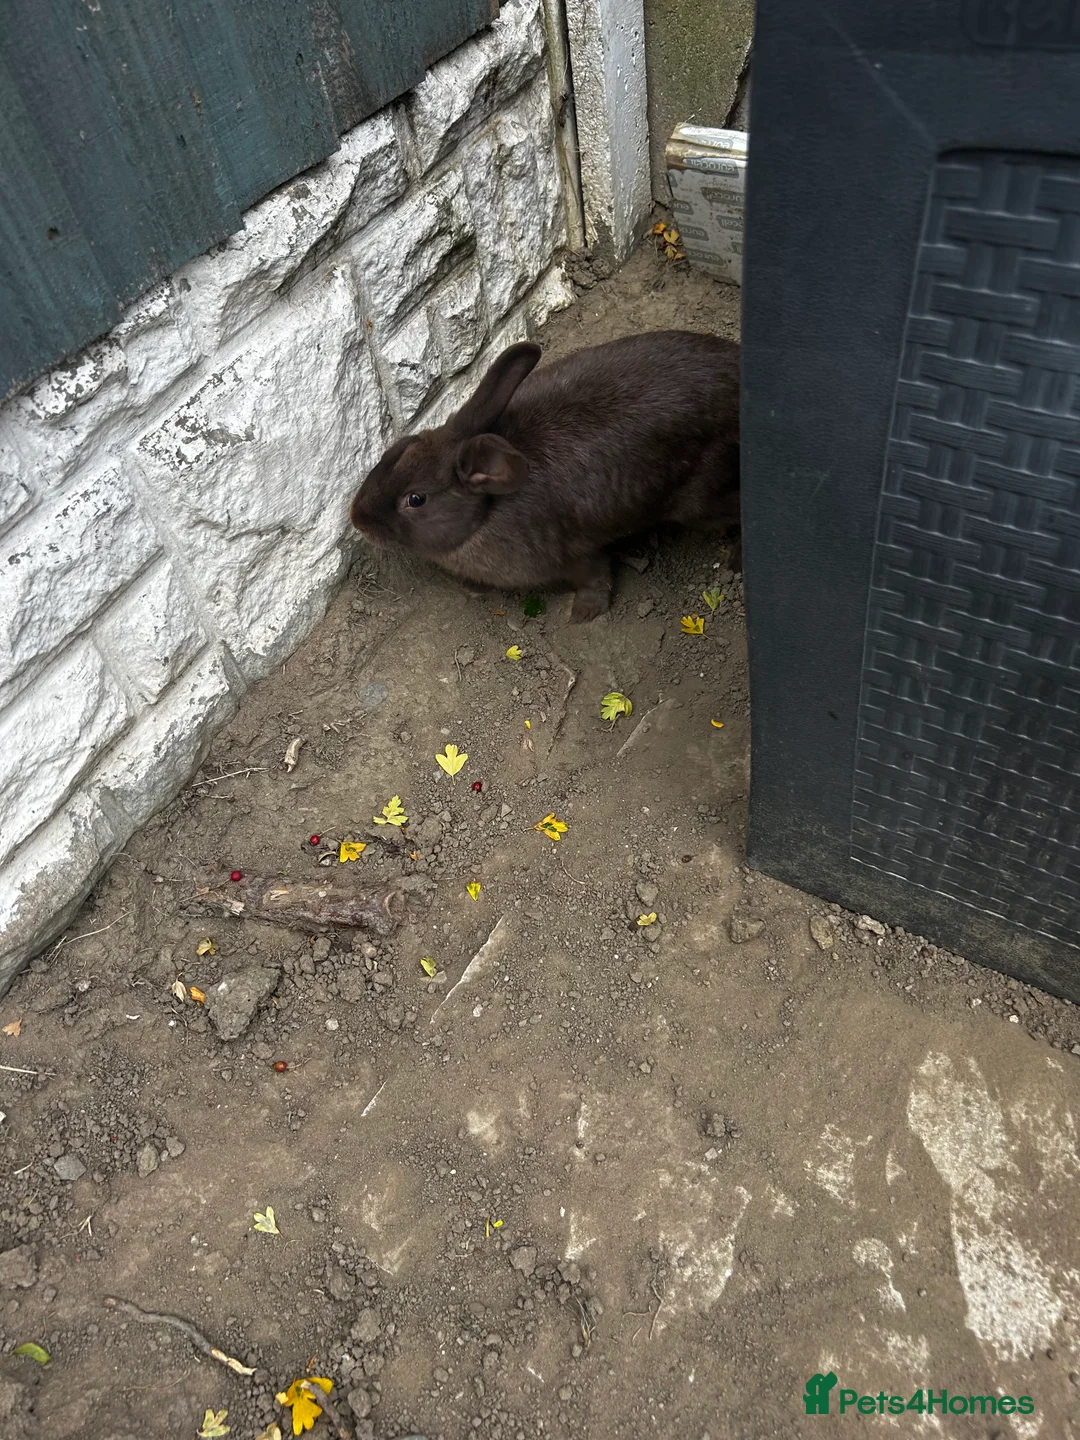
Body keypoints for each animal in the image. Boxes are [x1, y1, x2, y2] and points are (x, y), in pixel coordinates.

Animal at [349, 329, 740, 622]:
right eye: (400, 447)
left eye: (416, 499)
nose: (357, 519)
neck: (485, 513)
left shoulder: (576, 555)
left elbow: (596, 577)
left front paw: (582, 615)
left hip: (701, 502)